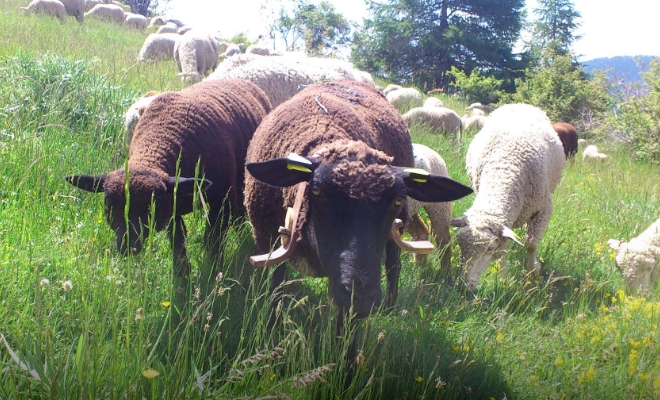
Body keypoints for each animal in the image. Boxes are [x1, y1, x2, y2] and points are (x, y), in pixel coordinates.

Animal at [245, 80, 472, 356]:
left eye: (397, 199)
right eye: (316, 191)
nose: (363, 298)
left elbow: (347, 327)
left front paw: (347, 359)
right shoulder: (269, 242)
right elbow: (276, 288)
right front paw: (272, 330)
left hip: (399, 227)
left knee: (394, 263)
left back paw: (390, 306)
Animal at [452, 103, 564, 290]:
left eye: (490, 248)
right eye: (460, 245)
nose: (464, 285)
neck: (504, 169)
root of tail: (520, 104)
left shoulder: (543, 209)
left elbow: (531, 245)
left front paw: (533, 272)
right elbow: (504, 249)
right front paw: (503, 278)